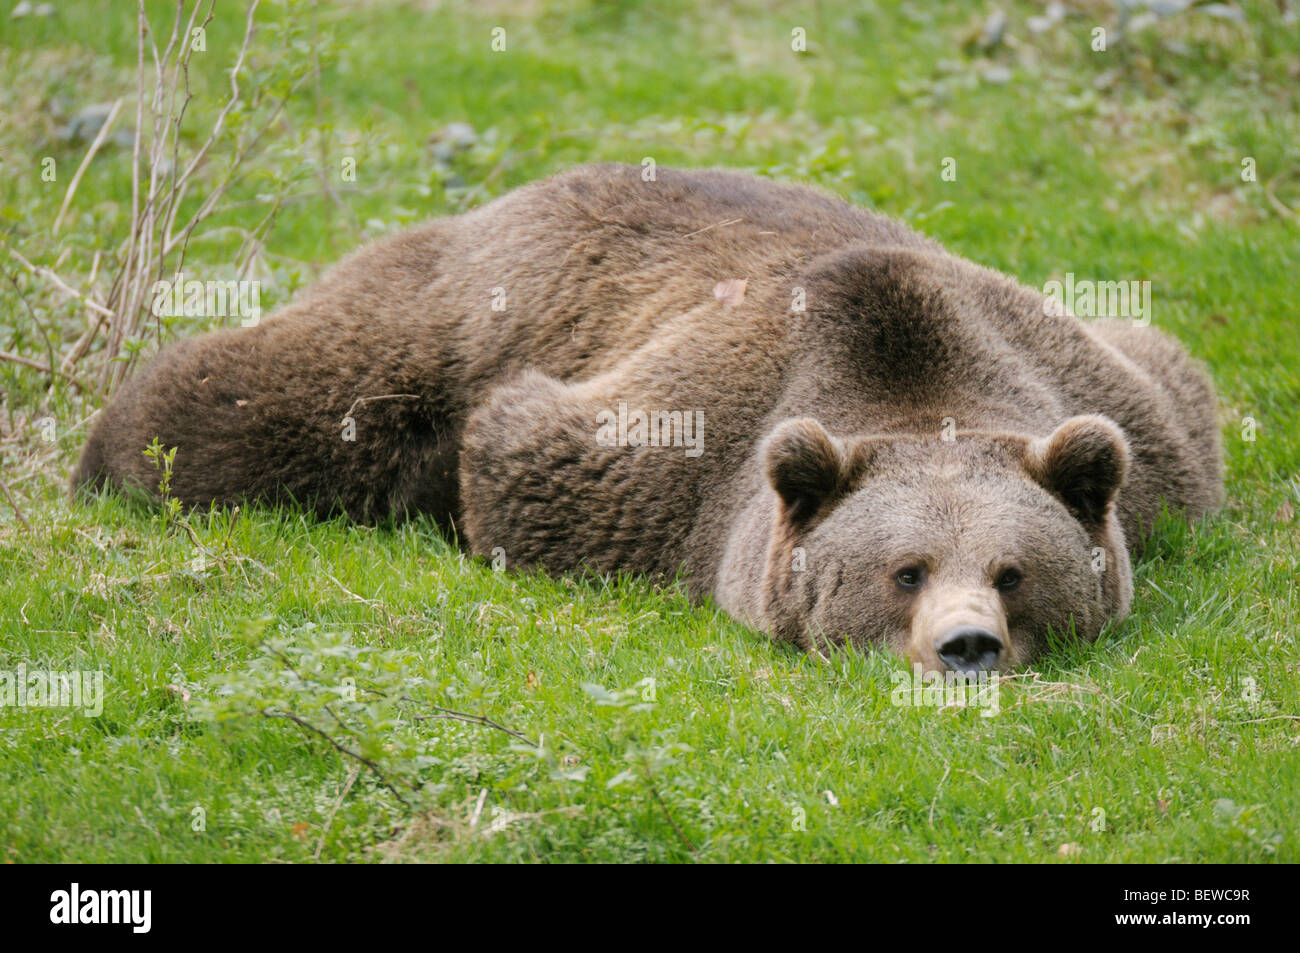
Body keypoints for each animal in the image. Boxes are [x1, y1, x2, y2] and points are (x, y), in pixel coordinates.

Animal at [73, 163, 1227, 670]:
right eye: (904, 571)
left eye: (1012, 569)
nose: (966, 645)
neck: (909, 372)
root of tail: (518, 191)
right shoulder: (679, 442)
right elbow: (526, 451)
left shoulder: (1135, 420)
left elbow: (1172, 393)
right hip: (440, 316)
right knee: (247, 407)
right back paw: (112, 448)